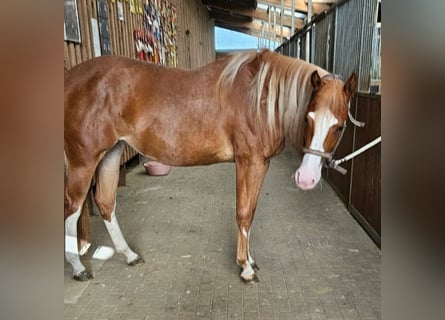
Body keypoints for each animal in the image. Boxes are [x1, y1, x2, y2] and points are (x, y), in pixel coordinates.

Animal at [64, 50, 358, 282]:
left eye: (340, 126)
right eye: (308, 118)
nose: (306, 178)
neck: (260, 100)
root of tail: (71, 76)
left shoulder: (260, 164)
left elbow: (251, 211)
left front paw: (250, 260)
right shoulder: (248, 162)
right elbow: (243, 214)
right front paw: (245, 268)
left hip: (111, 154)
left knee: (105, 202)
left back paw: (129, 255)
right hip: (83, 161)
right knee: (73, 208)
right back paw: (78, 268)